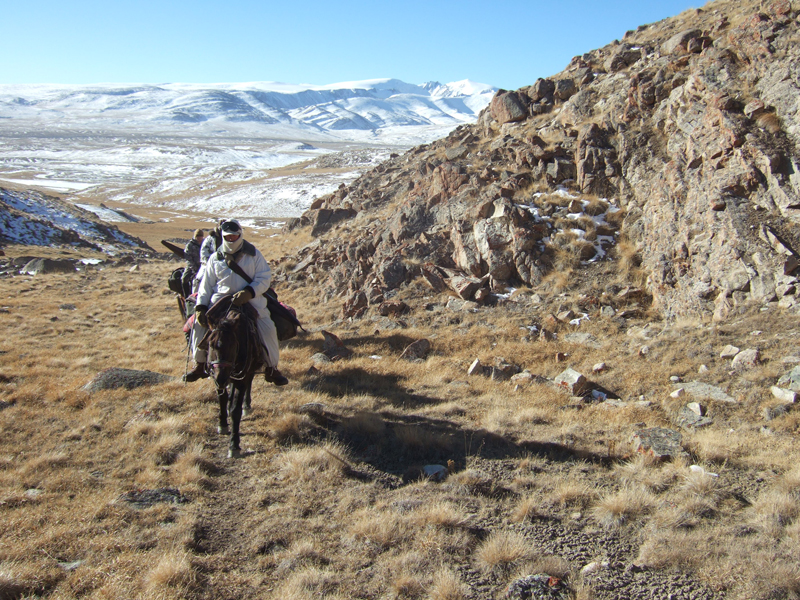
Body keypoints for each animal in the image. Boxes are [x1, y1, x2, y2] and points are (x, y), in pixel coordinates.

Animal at [205, 300, 264, 460]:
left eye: (233, 344)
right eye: (210, 344)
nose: (221, 378)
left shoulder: (241, 379)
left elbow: (235, 411)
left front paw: (234, 445)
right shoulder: (216, 377)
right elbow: (222, 398)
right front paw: (222, 423)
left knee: (248, 383)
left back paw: (246, 405)